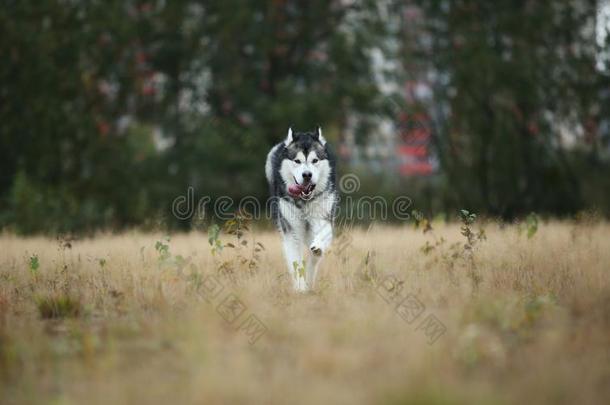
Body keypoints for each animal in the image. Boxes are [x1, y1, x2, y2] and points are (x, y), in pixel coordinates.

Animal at [264, 126, 338, 290]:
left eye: (315, 160)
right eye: (297, 161)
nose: (307, 175)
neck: (304, 202)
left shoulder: (323, 216)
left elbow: (321, 239)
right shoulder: (291, 230)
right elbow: (296, 261)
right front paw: (301, 288)